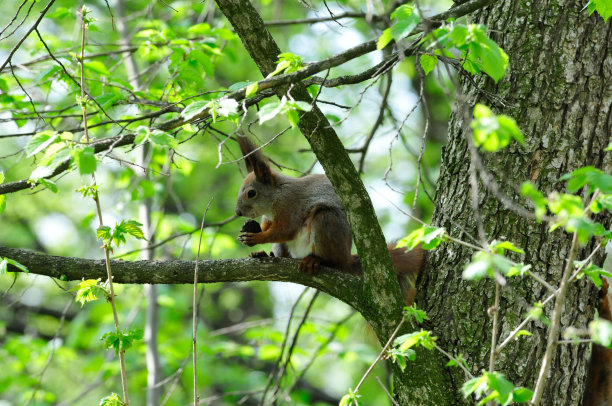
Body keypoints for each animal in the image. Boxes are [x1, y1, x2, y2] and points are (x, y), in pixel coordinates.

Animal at [232, 136, 424, 304]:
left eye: (251, 193)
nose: (238, 212)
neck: (276, 196)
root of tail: (346, 259)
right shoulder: (269, 216)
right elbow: (268, 226)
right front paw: (252, 228)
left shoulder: (290, 206)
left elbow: (285, 230)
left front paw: (256, 238)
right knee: (283, 253)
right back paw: (265, 255)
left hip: (327, 222)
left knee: (332, 261)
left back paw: (316, 261)